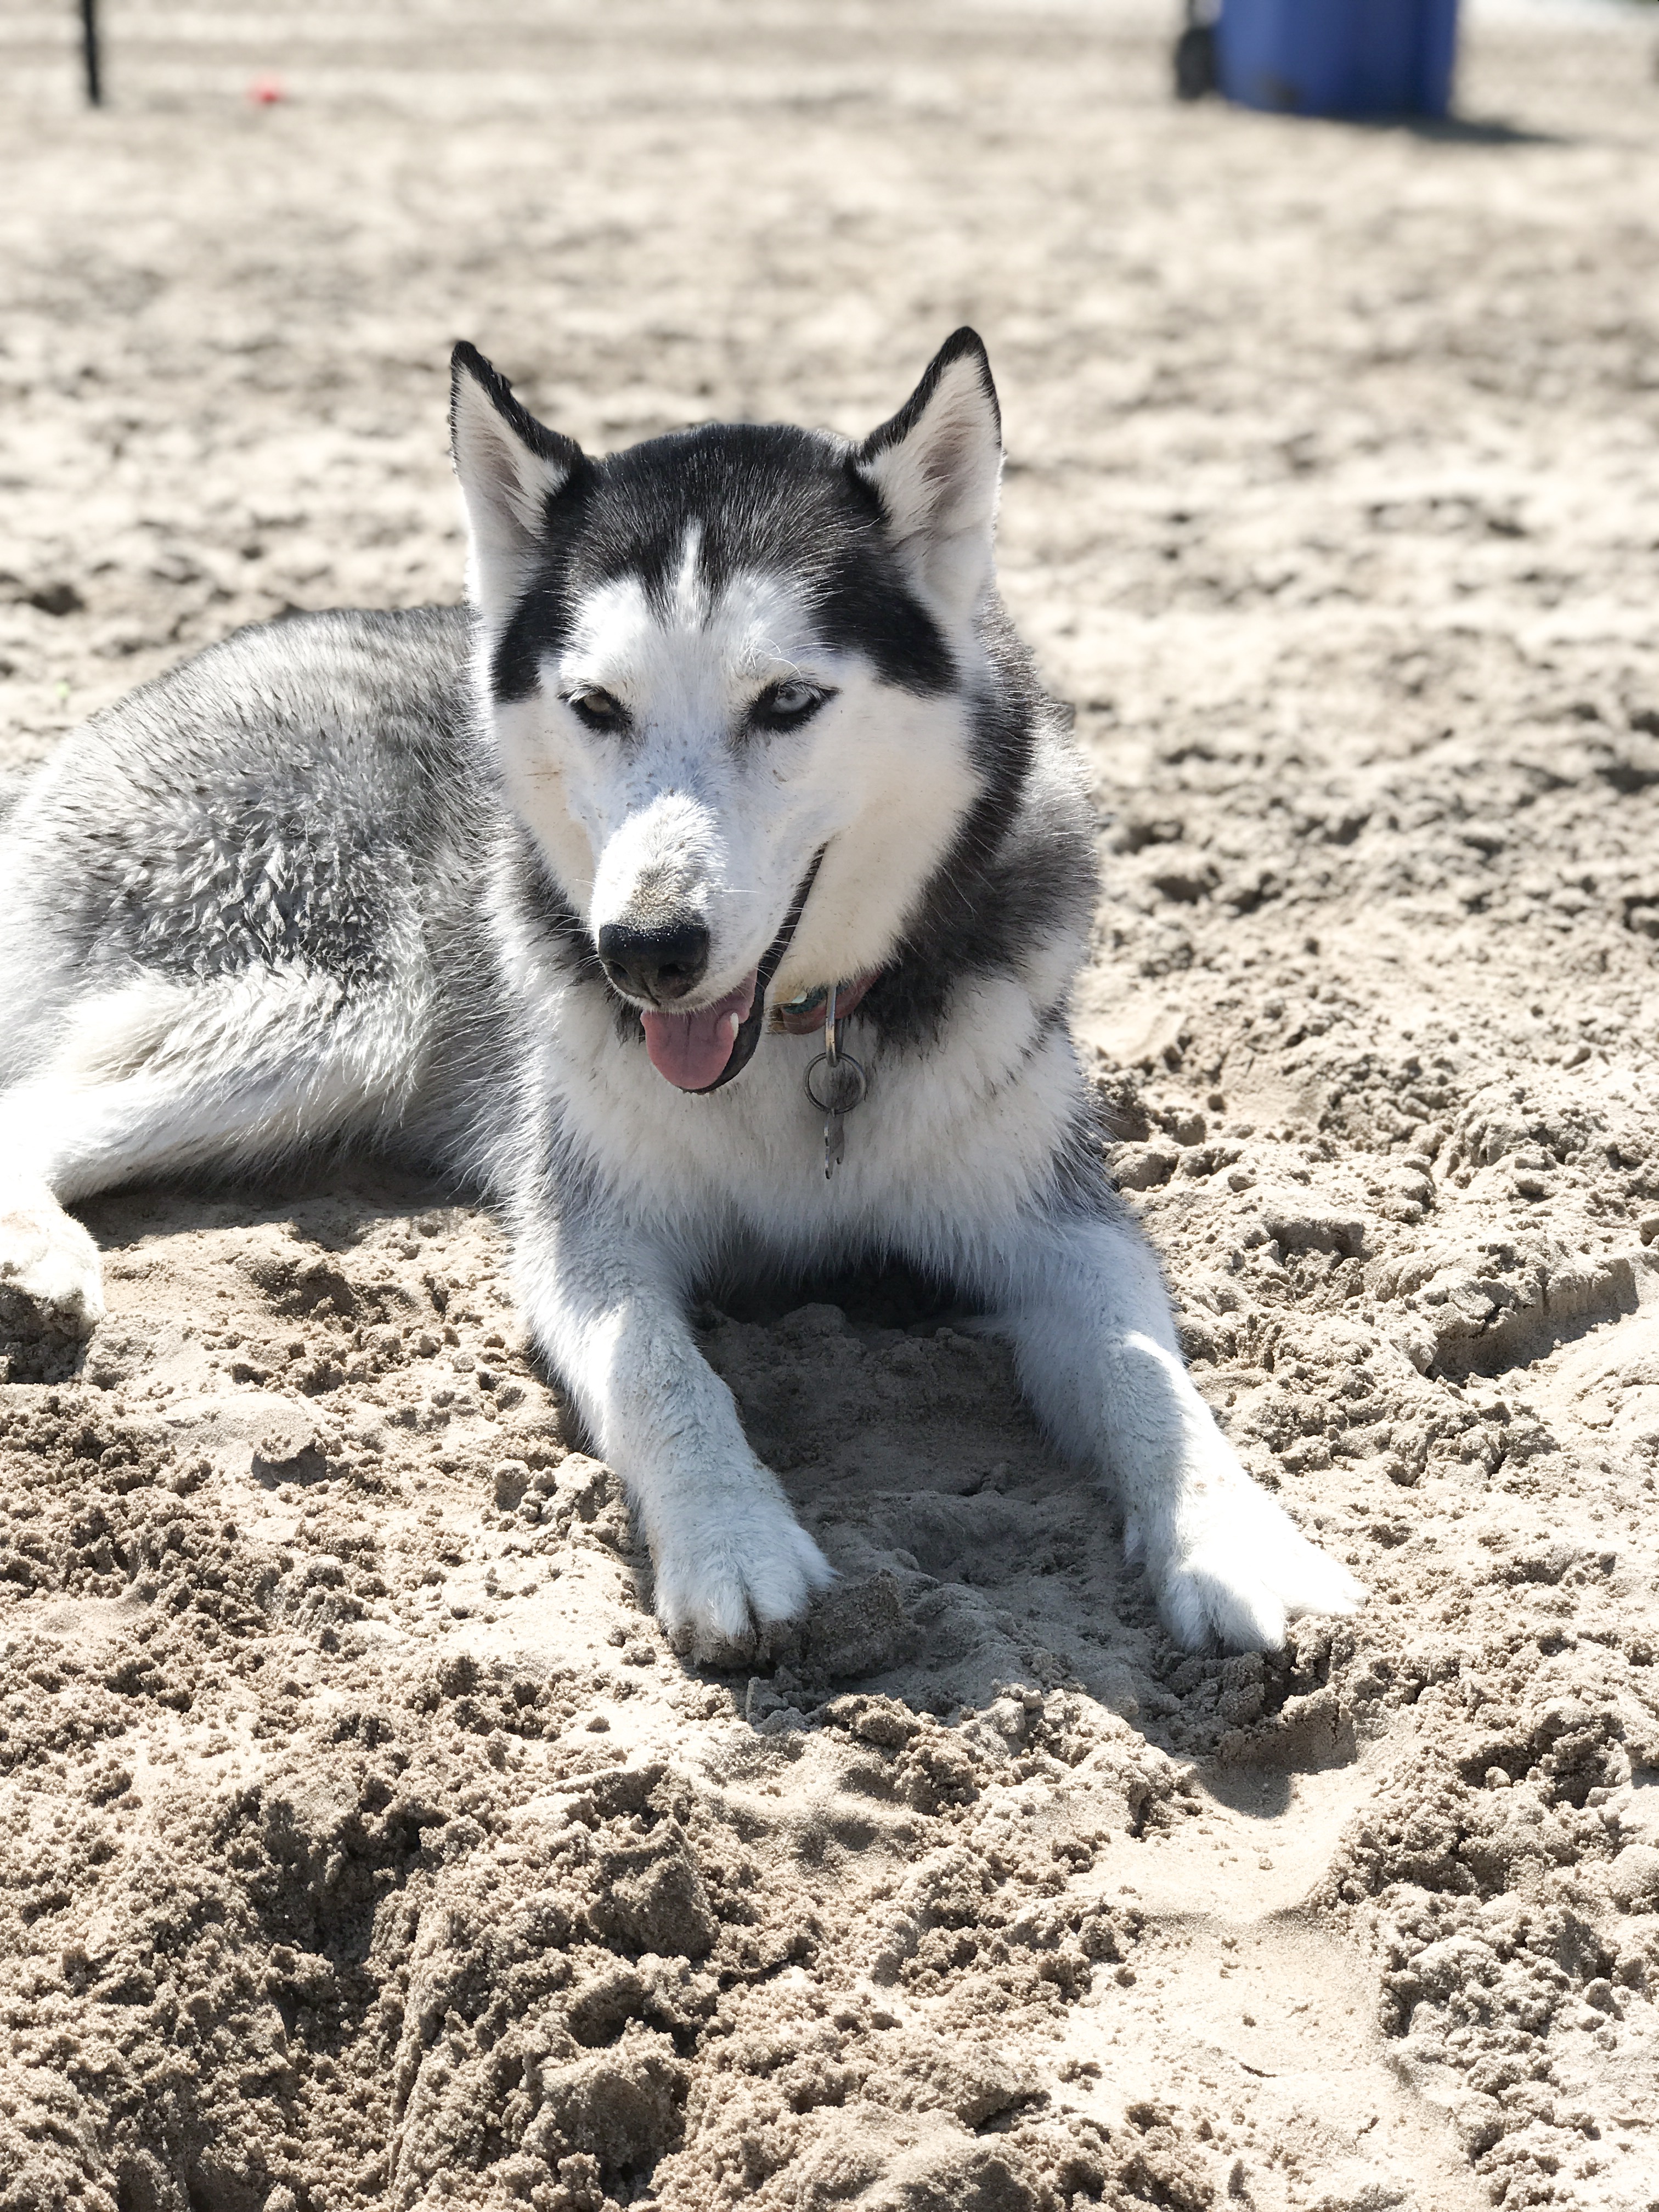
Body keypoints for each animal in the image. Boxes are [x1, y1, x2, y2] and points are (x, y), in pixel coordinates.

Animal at [0, 331, 1362, 1663]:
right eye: (598, 707)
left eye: (789, 702)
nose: (644, 950)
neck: (809, 1040)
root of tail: (164, 688)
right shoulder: (589, 1230)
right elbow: (661, 1370)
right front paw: (735, 1548)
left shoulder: (1056, 1222)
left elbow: (1148, 1373)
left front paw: (1239, 1544)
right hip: (329, 1009)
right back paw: (39, 1261)